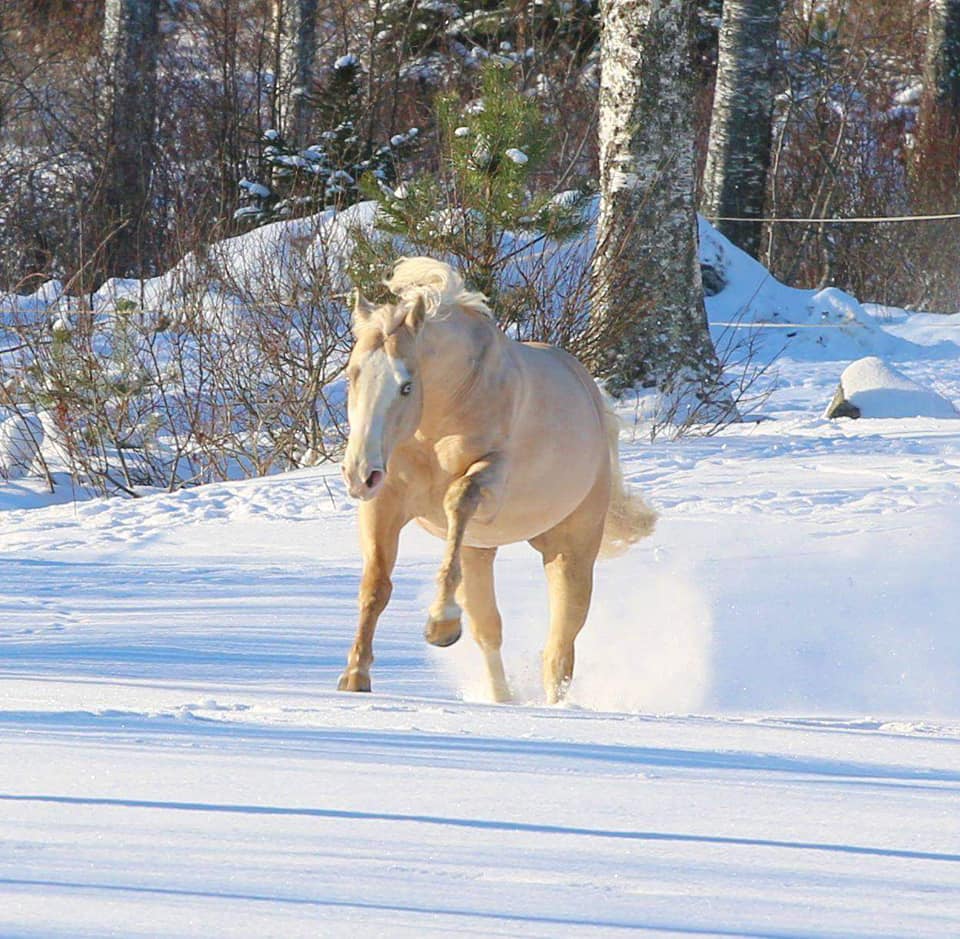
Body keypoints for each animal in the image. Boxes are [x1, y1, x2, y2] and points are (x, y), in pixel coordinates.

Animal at [339, 257, 657, 704]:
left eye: (406, 385)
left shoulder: (488, 483)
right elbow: (375, 586)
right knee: (490, 630)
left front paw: (441, 624)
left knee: (559, 649)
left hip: (571, 550)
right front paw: (355, 678)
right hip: (480, 551)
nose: (359, 474)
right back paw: (502, 699)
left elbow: (457, 499)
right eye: (352, 374)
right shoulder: (383, 503)